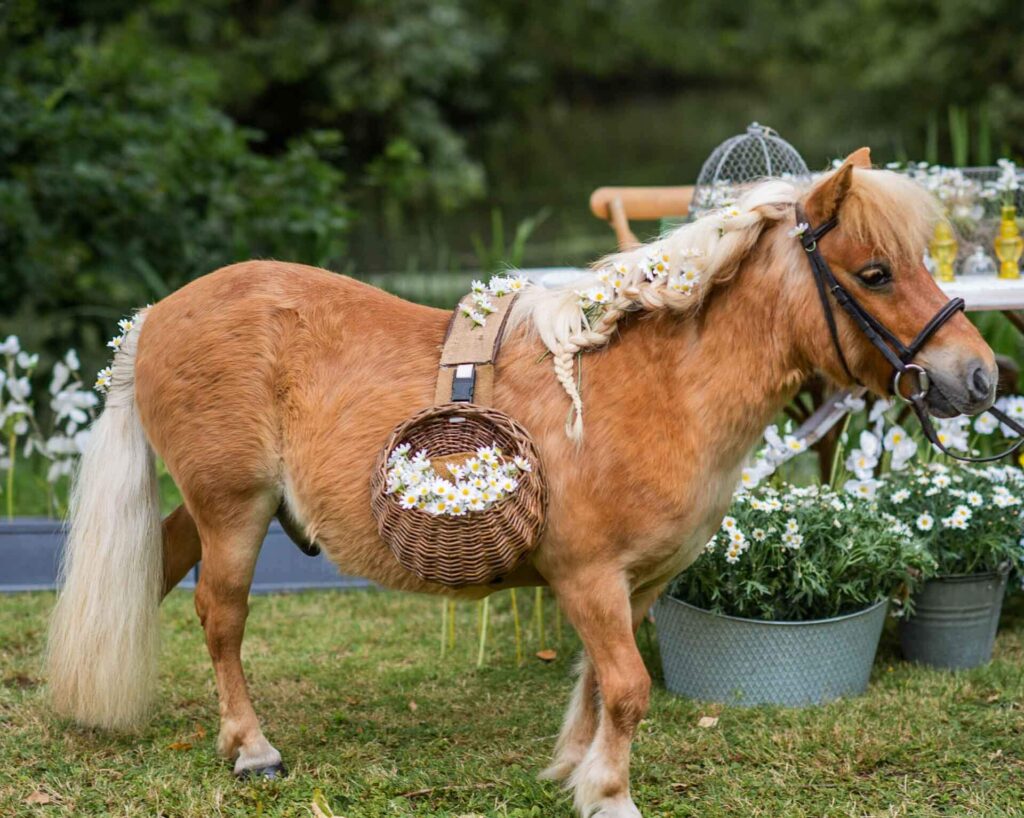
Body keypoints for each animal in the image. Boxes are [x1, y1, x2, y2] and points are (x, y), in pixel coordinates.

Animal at [47, 148, 997, 817]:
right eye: (875, 272)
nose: (981, 377)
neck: (655, 384)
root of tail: (156, 316)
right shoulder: (589, 577)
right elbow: (627, 689)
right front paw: (611, 796)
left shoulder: (634, 585)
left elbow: (600, 686)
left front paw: (578, 771)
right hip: (234, 510)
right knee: (221, 616)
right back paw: (250, 747)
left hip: (211, 509)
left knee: (160, 572)